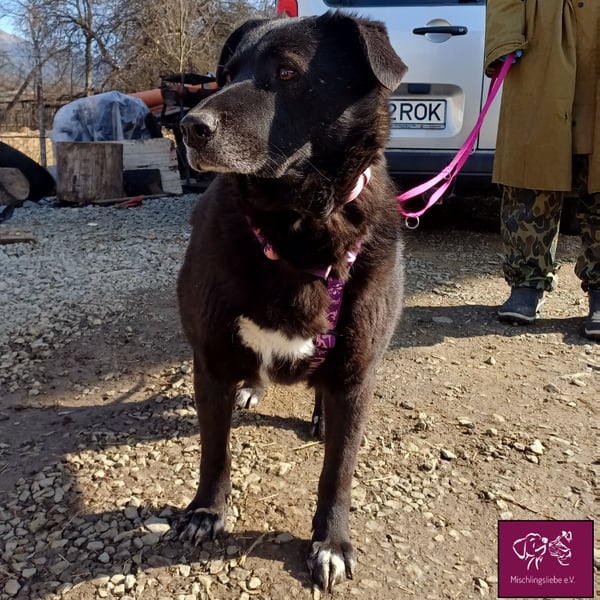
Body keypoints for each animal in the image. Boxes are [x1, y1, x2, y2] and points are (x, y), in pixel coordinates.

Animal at [177, 12, 407, 591]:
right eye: (225, 74)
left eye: (286, 72)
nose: (188, 127)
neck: (297, 225)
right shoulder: (210, 360)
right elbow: (214, 450)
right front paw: (206, 512)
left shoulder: (357, 372)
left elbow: (338, 471)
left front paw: (331, 543)